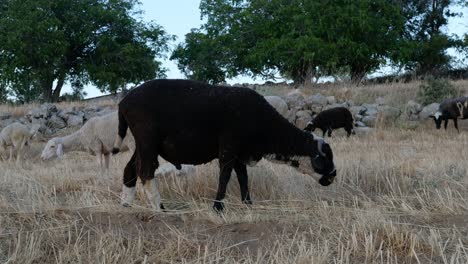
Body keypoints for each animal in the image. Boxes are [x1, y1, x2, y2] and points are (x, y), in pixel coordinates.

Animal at [112, 79, 336, 212]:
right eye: (323, 158)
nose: (333, 176)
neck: (266, 127)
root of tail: (124, 103)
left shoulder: (240, 152)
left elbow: (243, 177)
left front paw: (248, 204)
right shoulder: (229, 147)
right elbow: (225, 176)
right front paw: (218, 208)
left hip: (142, 143)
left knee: (130, 169)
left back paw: (126, 204)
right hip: (147, 139)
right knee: (146, 171)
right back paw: (160, 208)